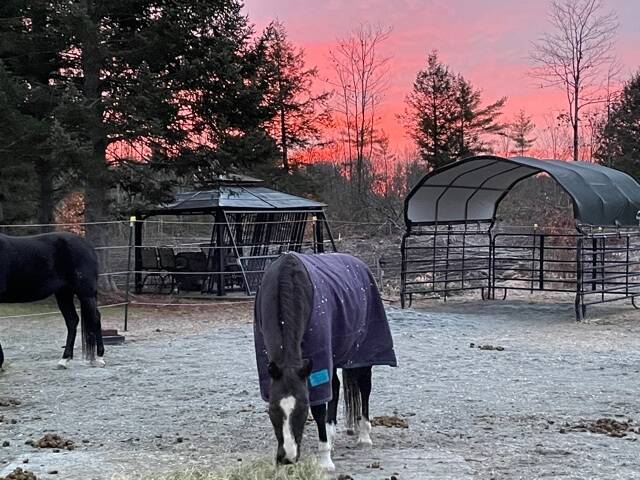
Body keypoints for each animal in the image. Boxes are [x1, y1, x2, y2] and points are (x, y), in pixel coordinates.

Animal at [0, 231, 105, 370]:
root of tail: (87, 245)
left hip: (86, 293)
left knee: (95, 319)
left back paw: (99, 358)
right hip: (64, 294)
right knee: (72, 321)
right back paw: (64, 360)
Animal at [254, 252, 397, 471]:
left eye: (303, 410)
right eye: (272, 411)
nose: (287, 457)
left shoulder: (319, 358)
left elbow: (319, 408)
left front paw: (325, 462)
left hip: (363, 354)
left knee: (364, 387)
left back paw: (364, 437)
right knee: (335, 387)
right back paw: (331, 435)